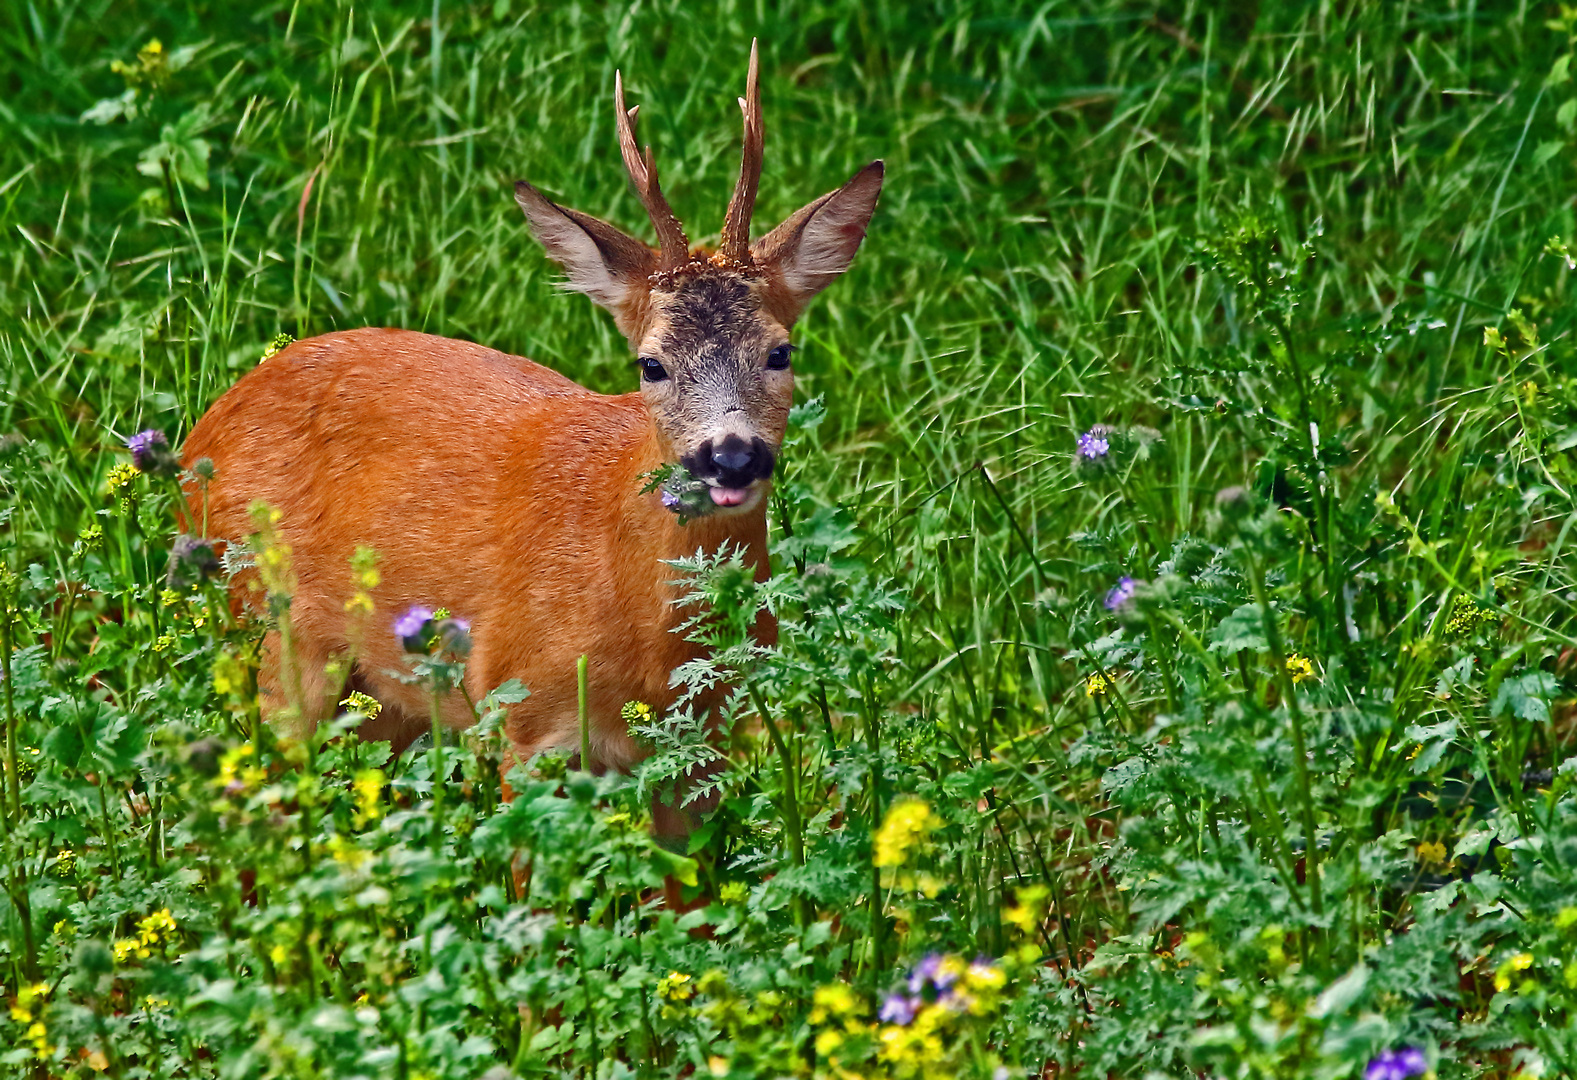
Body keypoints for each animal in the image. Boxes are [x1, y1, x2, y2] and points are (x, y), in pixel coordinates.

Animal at [181, 44, 889, 782]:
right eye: (651, 364)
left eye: (780, 352)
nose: (730, 456)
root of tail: (203, 430)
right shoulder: (524, 716)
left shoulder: (704, 751)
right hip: (270, 630)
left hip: (382, 699)